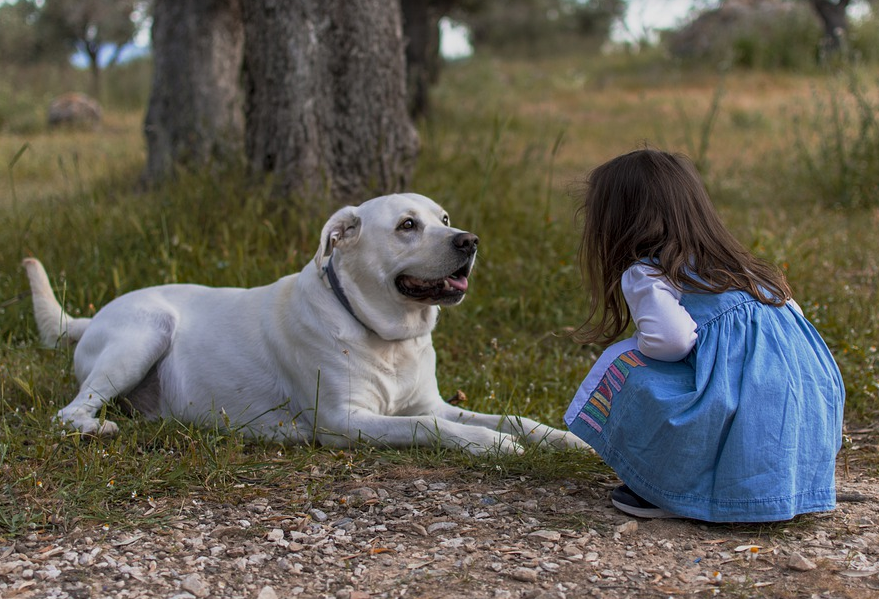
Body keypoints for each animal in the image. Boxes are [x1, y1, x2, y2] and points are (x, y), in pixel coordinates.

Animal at [22, 193, 584, 454]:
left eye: (443, 219)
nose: (469, 241)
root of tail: (91, 316)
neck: (386, 337)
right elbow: (431, 427)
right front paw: (490, 445)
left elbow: (512, 417)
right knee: (68, 413)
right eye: (407, 225)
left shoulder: (431, 401)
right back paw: (99, 427)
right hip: (146, 331)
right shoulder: (343, 420)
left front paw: (563, 438)